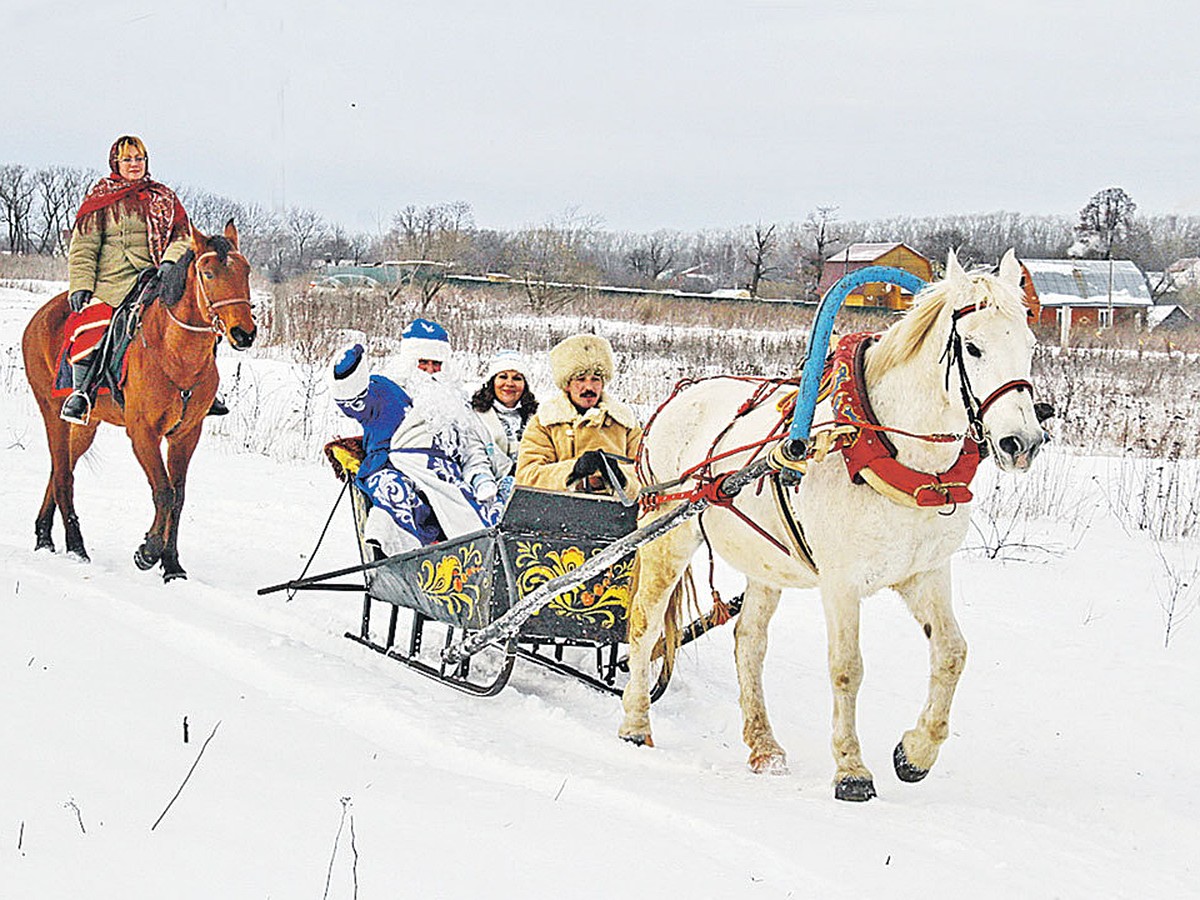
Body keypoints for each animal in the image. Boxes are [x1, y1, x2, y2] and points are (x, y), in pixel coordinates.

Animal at [22, 222, 255, 580]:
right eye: (208, 273)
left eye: (246, 270)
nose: (244, 333)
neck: (175, 354)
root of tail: (40, 316)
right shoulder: (144, 433)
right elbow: (163, 491)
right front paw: (148, 552)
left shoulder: (187, 435)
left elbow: (178, 496)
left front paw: (172, 565)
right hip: (52, 412)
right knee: (63, 476)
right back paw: (75, 547)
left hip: (87, 425)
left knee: (61, 468)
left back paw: (44, 535)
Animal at [619, 248, 1041, 801]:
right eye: (972, 347)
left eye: (1031, 345)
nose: (1022, 443)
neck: (887, 449)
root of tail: (681, 396)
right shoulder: (841, 583)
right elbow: (847, 668)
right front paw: (852, 770)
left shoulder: (925, 573)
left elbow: (952, 653)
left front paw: (915, 753)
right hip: (667, 534)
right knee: (645, 627)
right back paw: (634, 725)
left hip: (765, 561)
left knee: (749, 643)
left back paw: (765, 747)